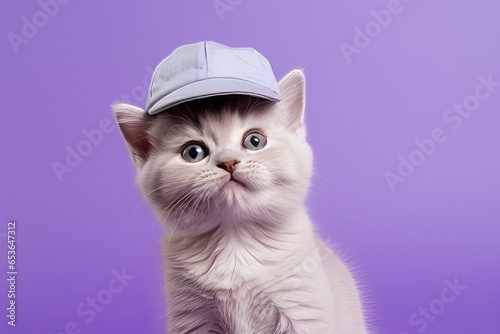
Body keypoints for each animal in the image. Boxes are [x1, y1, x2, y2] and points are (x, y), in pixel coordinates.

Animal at [114, 69, 372, 332]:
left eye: (254, 141)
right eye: (193, 152)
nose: (228, 162)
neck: (235, 242)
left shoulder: (302, 312)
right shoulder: (192, 319)